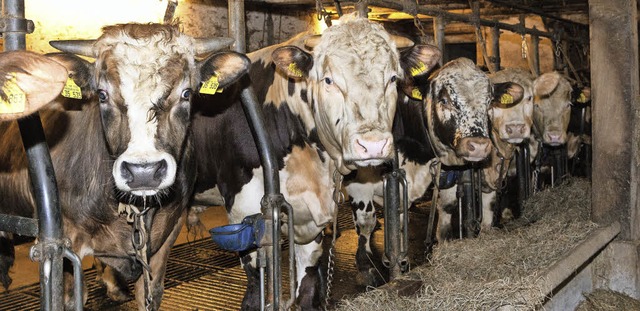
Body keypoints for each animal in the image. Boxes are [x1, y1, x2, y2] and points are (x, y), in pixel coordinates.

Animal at [0, 22, 249, 311]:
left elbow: (149, 293)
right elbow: (71, 297)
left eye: (186, 93)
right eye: (102, 94)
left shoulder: (168, 234)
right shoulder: (64, 241)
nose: (144, 172)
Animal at [188, 13, 442, 311]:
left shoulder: (316, 209)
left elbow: (308, 276)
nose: (373, 144)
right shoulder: (244, 205)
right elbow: (254, 276)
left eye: (392, 78)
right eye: (328, 80)